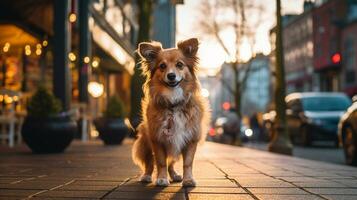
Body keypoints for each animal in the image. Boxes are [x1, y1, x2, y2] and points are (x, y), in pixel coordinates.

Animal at [131, 38, 209, 187]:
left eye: (180, 65)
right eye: (162, 66)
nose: (171, 75)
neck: (173, 102)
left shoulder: (190, 139)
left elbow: (187, 163)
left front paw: (188, 179)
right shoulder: (157, 139)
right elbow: (161, 162)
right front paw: (162, 179)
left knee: (171, 164)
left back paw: (175, 175)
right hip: (146, 142)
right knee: (150, 163)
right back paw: (147, 176)